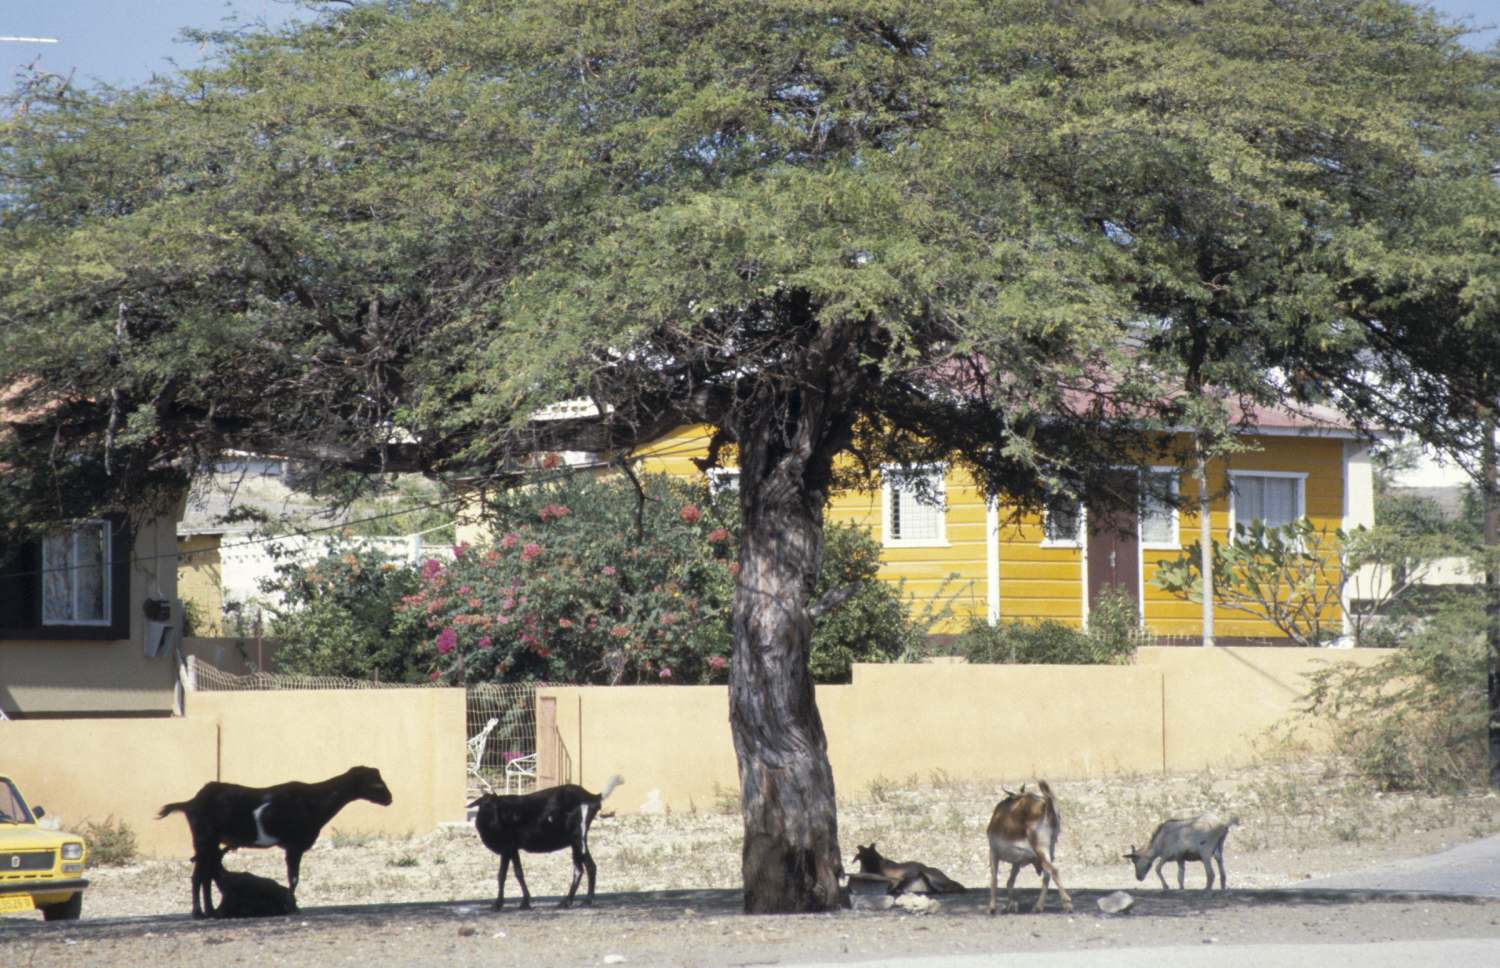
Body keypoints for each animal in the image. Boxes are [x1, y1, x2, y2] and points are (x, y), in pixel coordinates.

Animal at [159, 765, 393, 918]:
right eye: (377, 784)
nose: (389, 799)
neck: (314, 801)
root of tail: (190, 803)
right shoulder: (294, 846)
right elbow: (293, 877)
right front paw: (293, 908)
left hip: (211, 843)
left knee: (206, 875)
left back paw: (209, 911)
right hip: (204, 838)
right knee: (198, 876)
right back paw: (198, 913)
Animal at [472, 774, 623, 910]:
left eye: (497, 808)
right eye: (485, 807)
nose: (496, 823)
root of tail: (592, 796)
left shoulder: (506, 848)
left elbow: (502, 875)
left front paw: (497, 904)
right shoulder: (513, 849)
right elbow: (519, 873)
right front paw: (525, 902)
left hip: (578, 837)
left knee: (590, 867)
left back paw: (586, 900)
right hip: (575, 842)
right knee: (579, 869)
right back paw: (567, 902)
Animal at [985, 779, 1072, 915]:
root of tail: (1047, 805)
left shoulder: (993, 852)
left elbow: (994, 879)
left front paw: (992, 908)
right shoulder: (1017, 861)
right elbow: (1010, 881)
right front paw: (1011, 906)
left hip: (1041, 849)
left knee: (1054, 871)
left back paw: (1067, 904)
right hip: (1050, 850)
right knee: (1047, 875)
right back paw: (1038, 907)